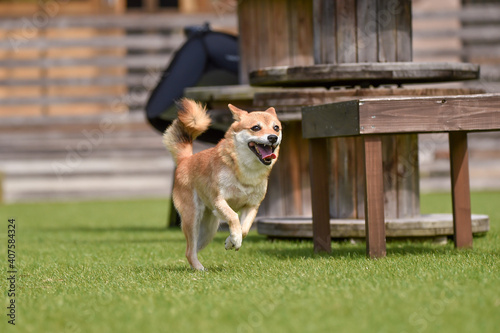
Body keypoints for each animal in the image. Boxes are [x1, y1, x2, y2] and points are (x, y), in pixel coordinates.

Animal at [164, 98, 282, 270]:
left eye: (276, 128)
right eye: (256, 128)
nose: (273, 137)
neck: (245, 171)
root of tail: (186, 160)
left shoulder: (252, 206)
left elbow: (244, 228)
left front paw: (231, 240)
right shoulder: (218, 200)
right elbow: (233, 216)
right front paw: (235, 239)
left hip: (209, 229)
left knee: (191, 249)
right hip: (193, 218)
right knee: (189, 250)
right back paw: (200, 269)